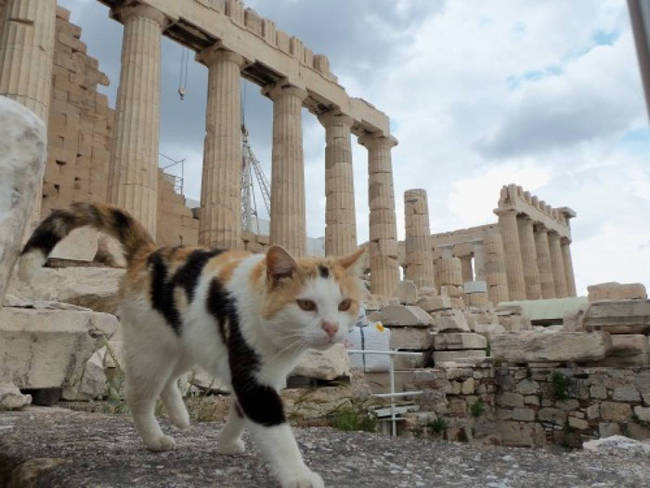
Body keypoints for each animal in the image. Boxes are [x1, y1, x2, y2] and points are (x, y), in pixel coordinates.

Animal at [20, 200, 364, 486]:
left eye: (344, 304)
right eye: (306, 305)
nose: (332, 328)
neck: (279, 340)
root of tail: (149, 251)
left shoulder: (262, 373)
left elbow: (240, 410)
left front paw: (227, 443)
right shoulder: (250, 375)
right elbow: (274, 429)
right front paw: (298, 476)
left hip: (189, 344)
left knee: (169, 380)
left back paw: (179, 416)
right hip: (151, 348)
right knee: (139, 393)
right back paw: (155, 439)